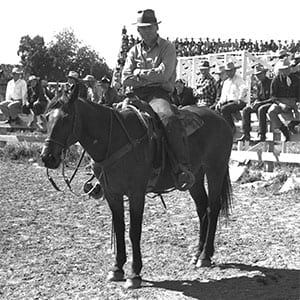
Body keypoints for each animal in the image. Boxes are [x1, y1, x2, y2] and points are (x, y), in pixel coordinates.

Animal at [40, 84, 232, 288]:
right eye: (46, 117)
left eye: (66, 118)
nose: (47, 157)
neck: (114, 139)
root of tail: (220, 118)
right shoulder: (112, 193)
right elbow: (119, 228)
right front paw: (117, 268)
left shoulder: (136, 193)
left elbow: (134, 231)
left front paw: (134, 274)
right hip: (195, 176)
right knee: (202, 208)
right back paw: (197, 254)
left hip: (216, 169)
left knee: (213, 208)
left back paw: (205, 256)